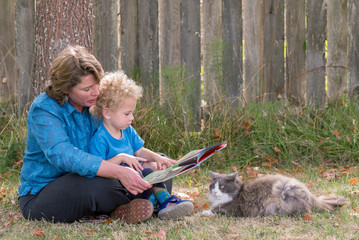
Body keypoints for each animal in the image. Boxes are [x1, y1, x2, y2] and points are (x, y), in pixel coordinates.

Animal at [202, 171, 346, 218]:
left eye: (222, 186)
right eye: (212, 186)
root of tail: (310, 195)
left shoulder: (234, 209)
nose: (214, 191)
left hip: (280, 193)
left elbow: (217, 209)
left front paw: (205, 212)